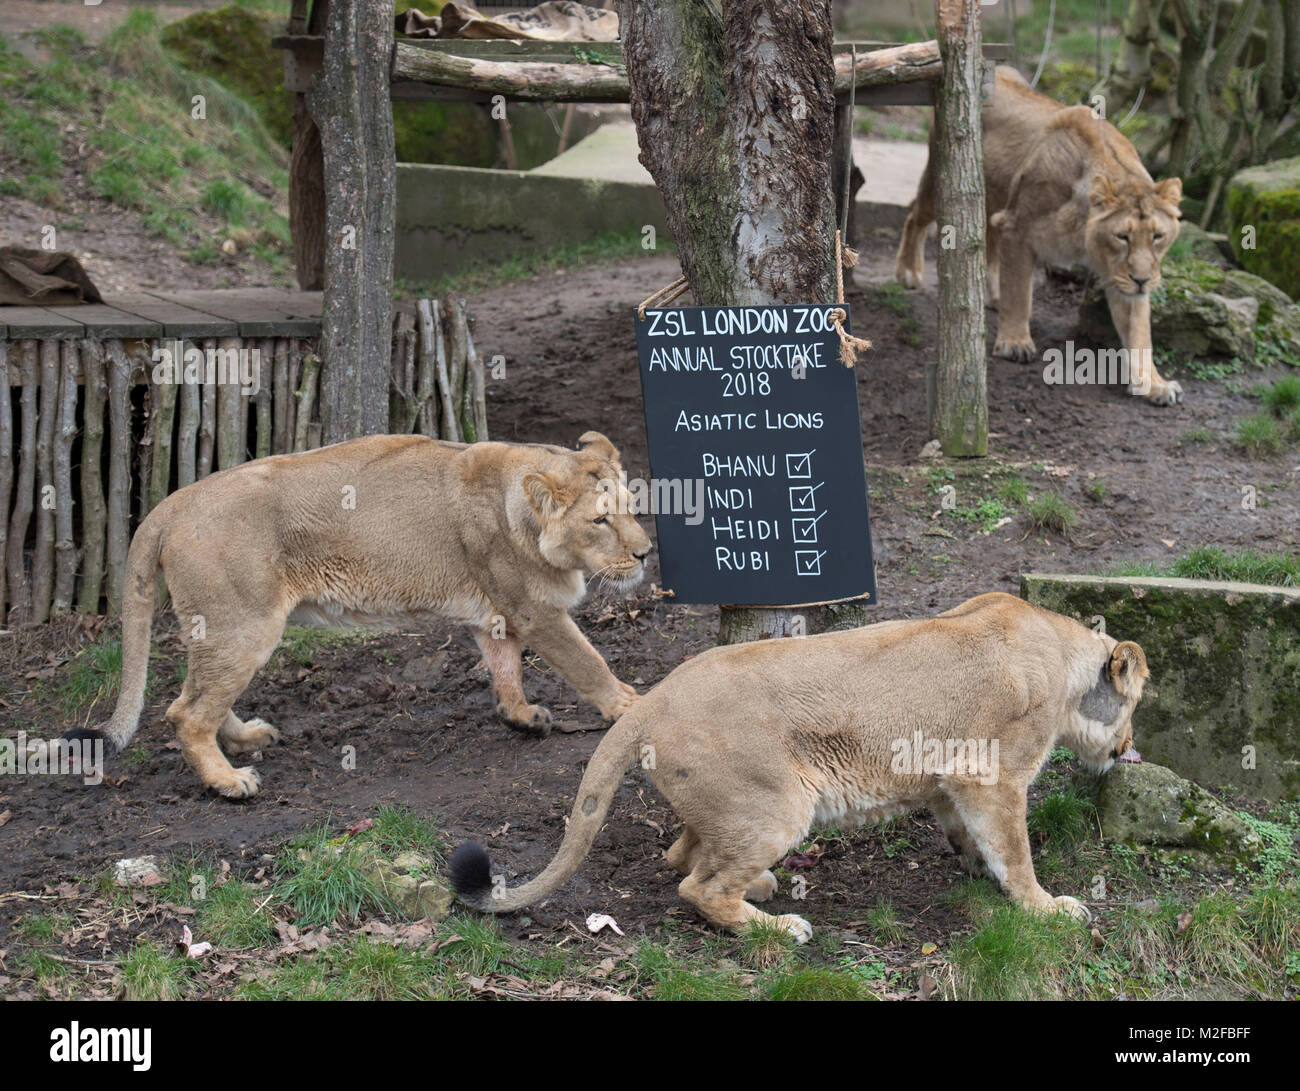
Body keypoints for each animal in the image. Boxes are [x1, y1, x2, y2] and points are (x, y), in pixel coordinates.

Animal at [68, 431, 647, 795]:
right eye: (600, 521)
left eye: (631, 508)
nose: (644, 553)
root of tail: (168, 505)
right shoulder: (535, 611)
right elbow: (587, 661)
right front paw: (629, 705)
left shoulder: (498, 612)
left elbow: (506, 669)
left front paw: (521, 716)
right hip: (242, 625)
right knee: (185, 713)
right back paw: (228, 782)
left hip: (221, 631)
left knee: (196, 697)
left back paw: (246, 738)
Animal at [449, 592, 1149, 941]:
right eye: (1137, 703)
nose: (1129, 747)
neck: (1064, 661)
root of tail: (651, 700)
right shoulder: (994, 777)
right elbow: (1018, 852)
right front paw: (1045, 907)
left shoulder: (949, 778)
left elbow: (969, 835)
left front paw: (979, 872)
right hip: (779, 807)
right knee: (696, 887)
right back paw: (780, 927)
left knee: (682, 857)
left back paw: (759, 888)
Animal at [894, 69, 1190, 410]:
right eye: (1122, 236)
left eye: (1158, 236)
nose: (1143, 281)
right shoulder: (1019, 227)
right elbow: (1020, 293)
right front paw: (1014, 343)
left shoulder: (1121, 274)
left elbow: (1140, 332)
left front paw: (1154, 384)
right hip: (944, 177)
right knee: (914, 213)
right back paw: (909, 272)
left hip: (993, 196)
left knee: (990, 242)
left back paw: (994, 296)